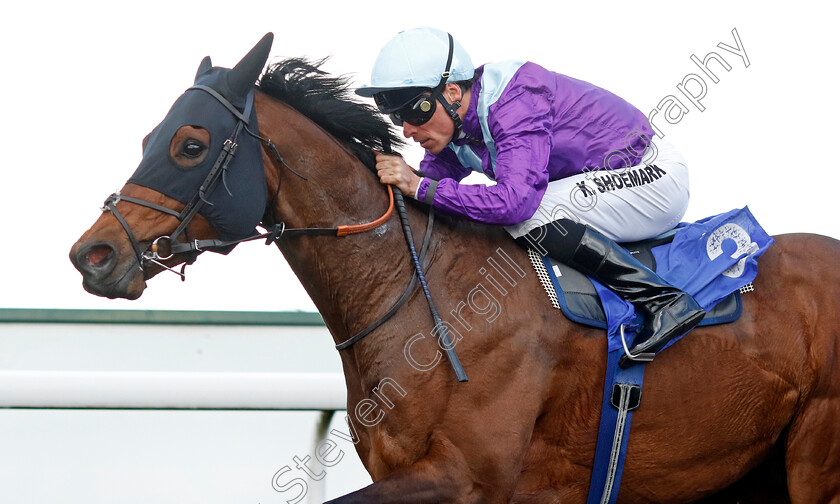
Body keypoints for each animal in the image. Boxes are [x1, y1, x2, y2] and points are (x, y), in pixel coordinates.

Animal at [70, 33, 840, 502]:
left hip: (815, 460)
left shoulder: (466, 476)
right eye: (149, 137)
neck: (421, 293)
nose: (93, 254)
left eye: (191, 145)